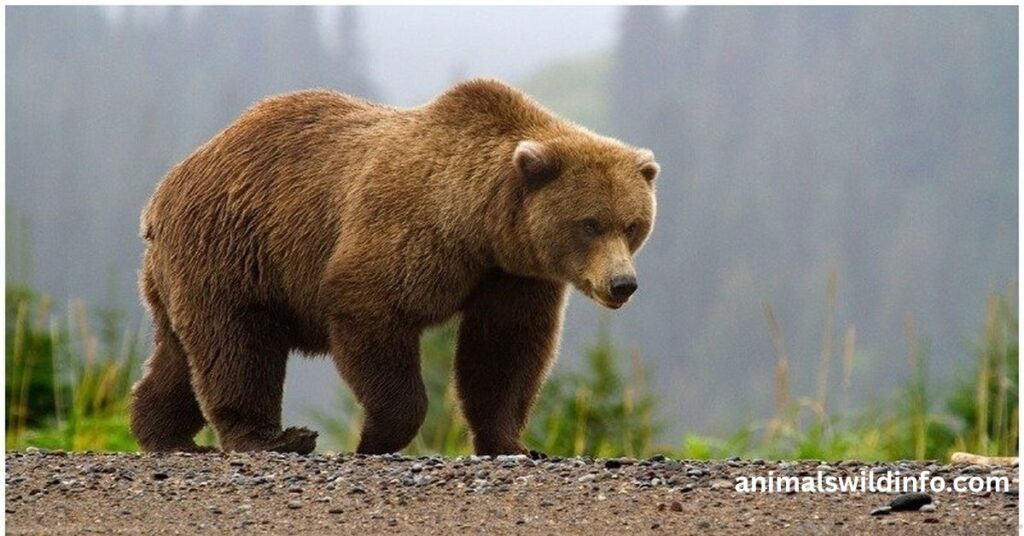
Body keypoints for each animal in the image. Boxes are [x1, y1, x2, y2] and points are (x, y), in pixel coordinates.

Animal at [129, 78, 659, 455]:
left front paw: (514, 443)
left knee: (179, 353)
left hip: (186, 270)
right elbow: (372, 310)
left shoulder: (513, 275)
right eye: (589, 224)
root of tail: (164, 190)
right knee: (238, 344)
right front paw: (375, 437)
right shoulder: (409, 230)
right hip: (234, 248)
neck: (481, 225)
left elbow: (504, 350)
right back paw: (273, 438)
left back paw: (163, 434)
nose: (623, 283)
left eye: (633, 224)